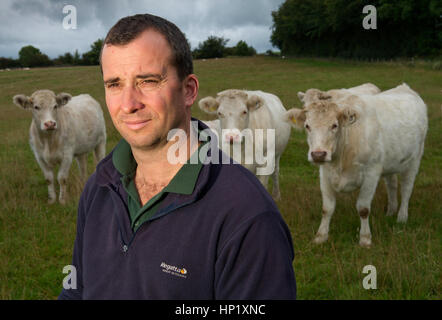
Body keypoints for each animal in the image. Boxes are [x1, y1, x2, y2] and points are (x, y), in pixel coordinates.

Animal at [286, 83, 428, 248]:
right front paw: (321, 236)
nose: (318, 154)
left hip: (414, 159)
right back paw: (391, 211)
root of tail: (404, 87)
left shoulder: (372, 173)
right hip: (391, 162)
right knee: (392, 184)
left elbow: (363, 208)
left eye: (334, 125)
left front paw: (365, 239)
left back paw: (402, 217)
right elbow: (327, 208)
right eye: (307, 126)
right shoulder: (325, 174)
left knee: (406, 188)